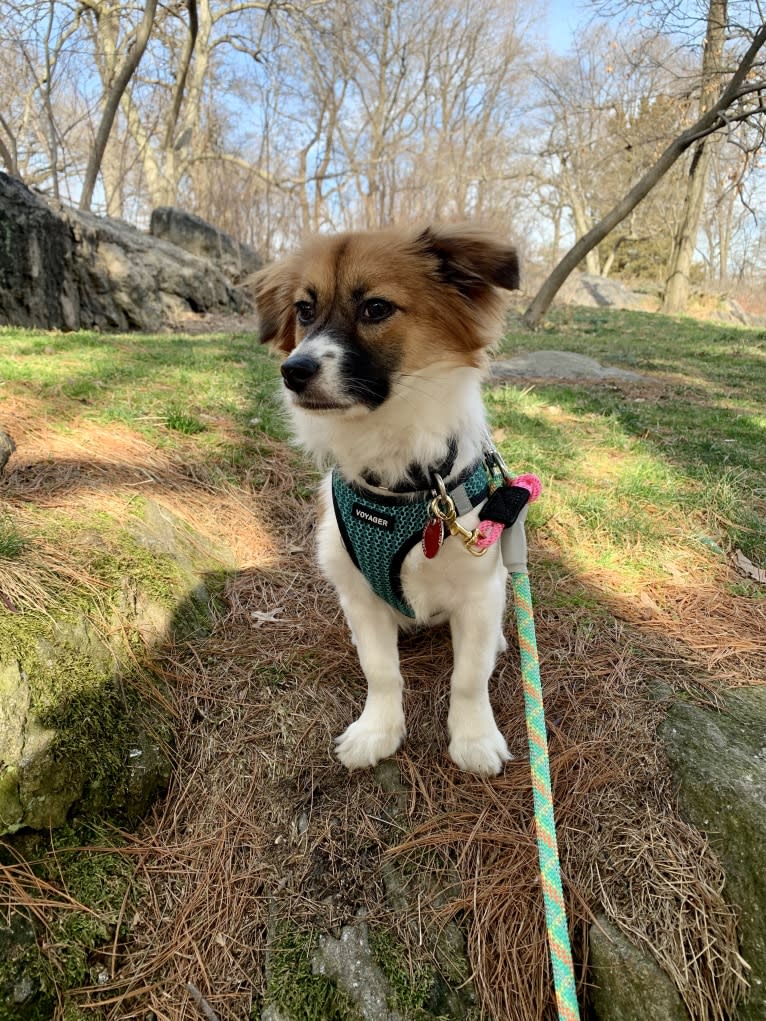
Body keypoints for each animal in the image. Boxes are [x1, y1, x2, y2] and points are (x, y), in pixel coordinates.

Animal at [255, 225, 527, 771]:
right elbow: (381, 671)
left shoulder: (478, 591)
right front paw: (377, 731)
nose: (293, 371)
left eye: (376, 308)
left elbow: (469, 677)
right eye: (304, 310)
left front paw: (473, 739)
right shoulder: (359, 593)